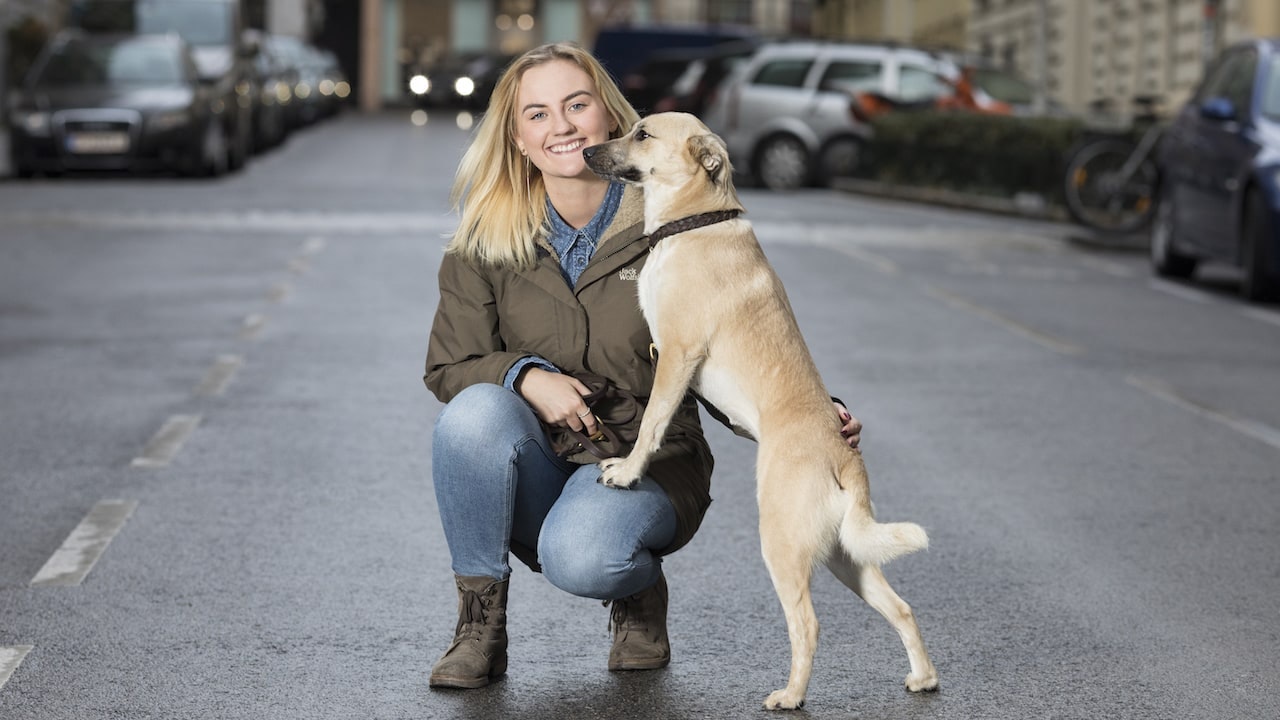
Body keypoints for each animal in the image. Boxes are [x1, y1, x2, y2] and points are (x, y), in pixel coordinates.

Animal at [586, 112, 936, 707]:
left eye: (642, 134)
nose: (586, 152)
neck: (693, 220)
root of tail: (844, 458)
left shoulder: (675, 354)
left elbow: (653, 420)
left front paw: (629, 472)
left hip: (783, 544)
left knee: (808, 624)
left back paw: (791, 696)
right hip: (846, 556)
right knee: (902, 608)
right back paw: (924, 677)